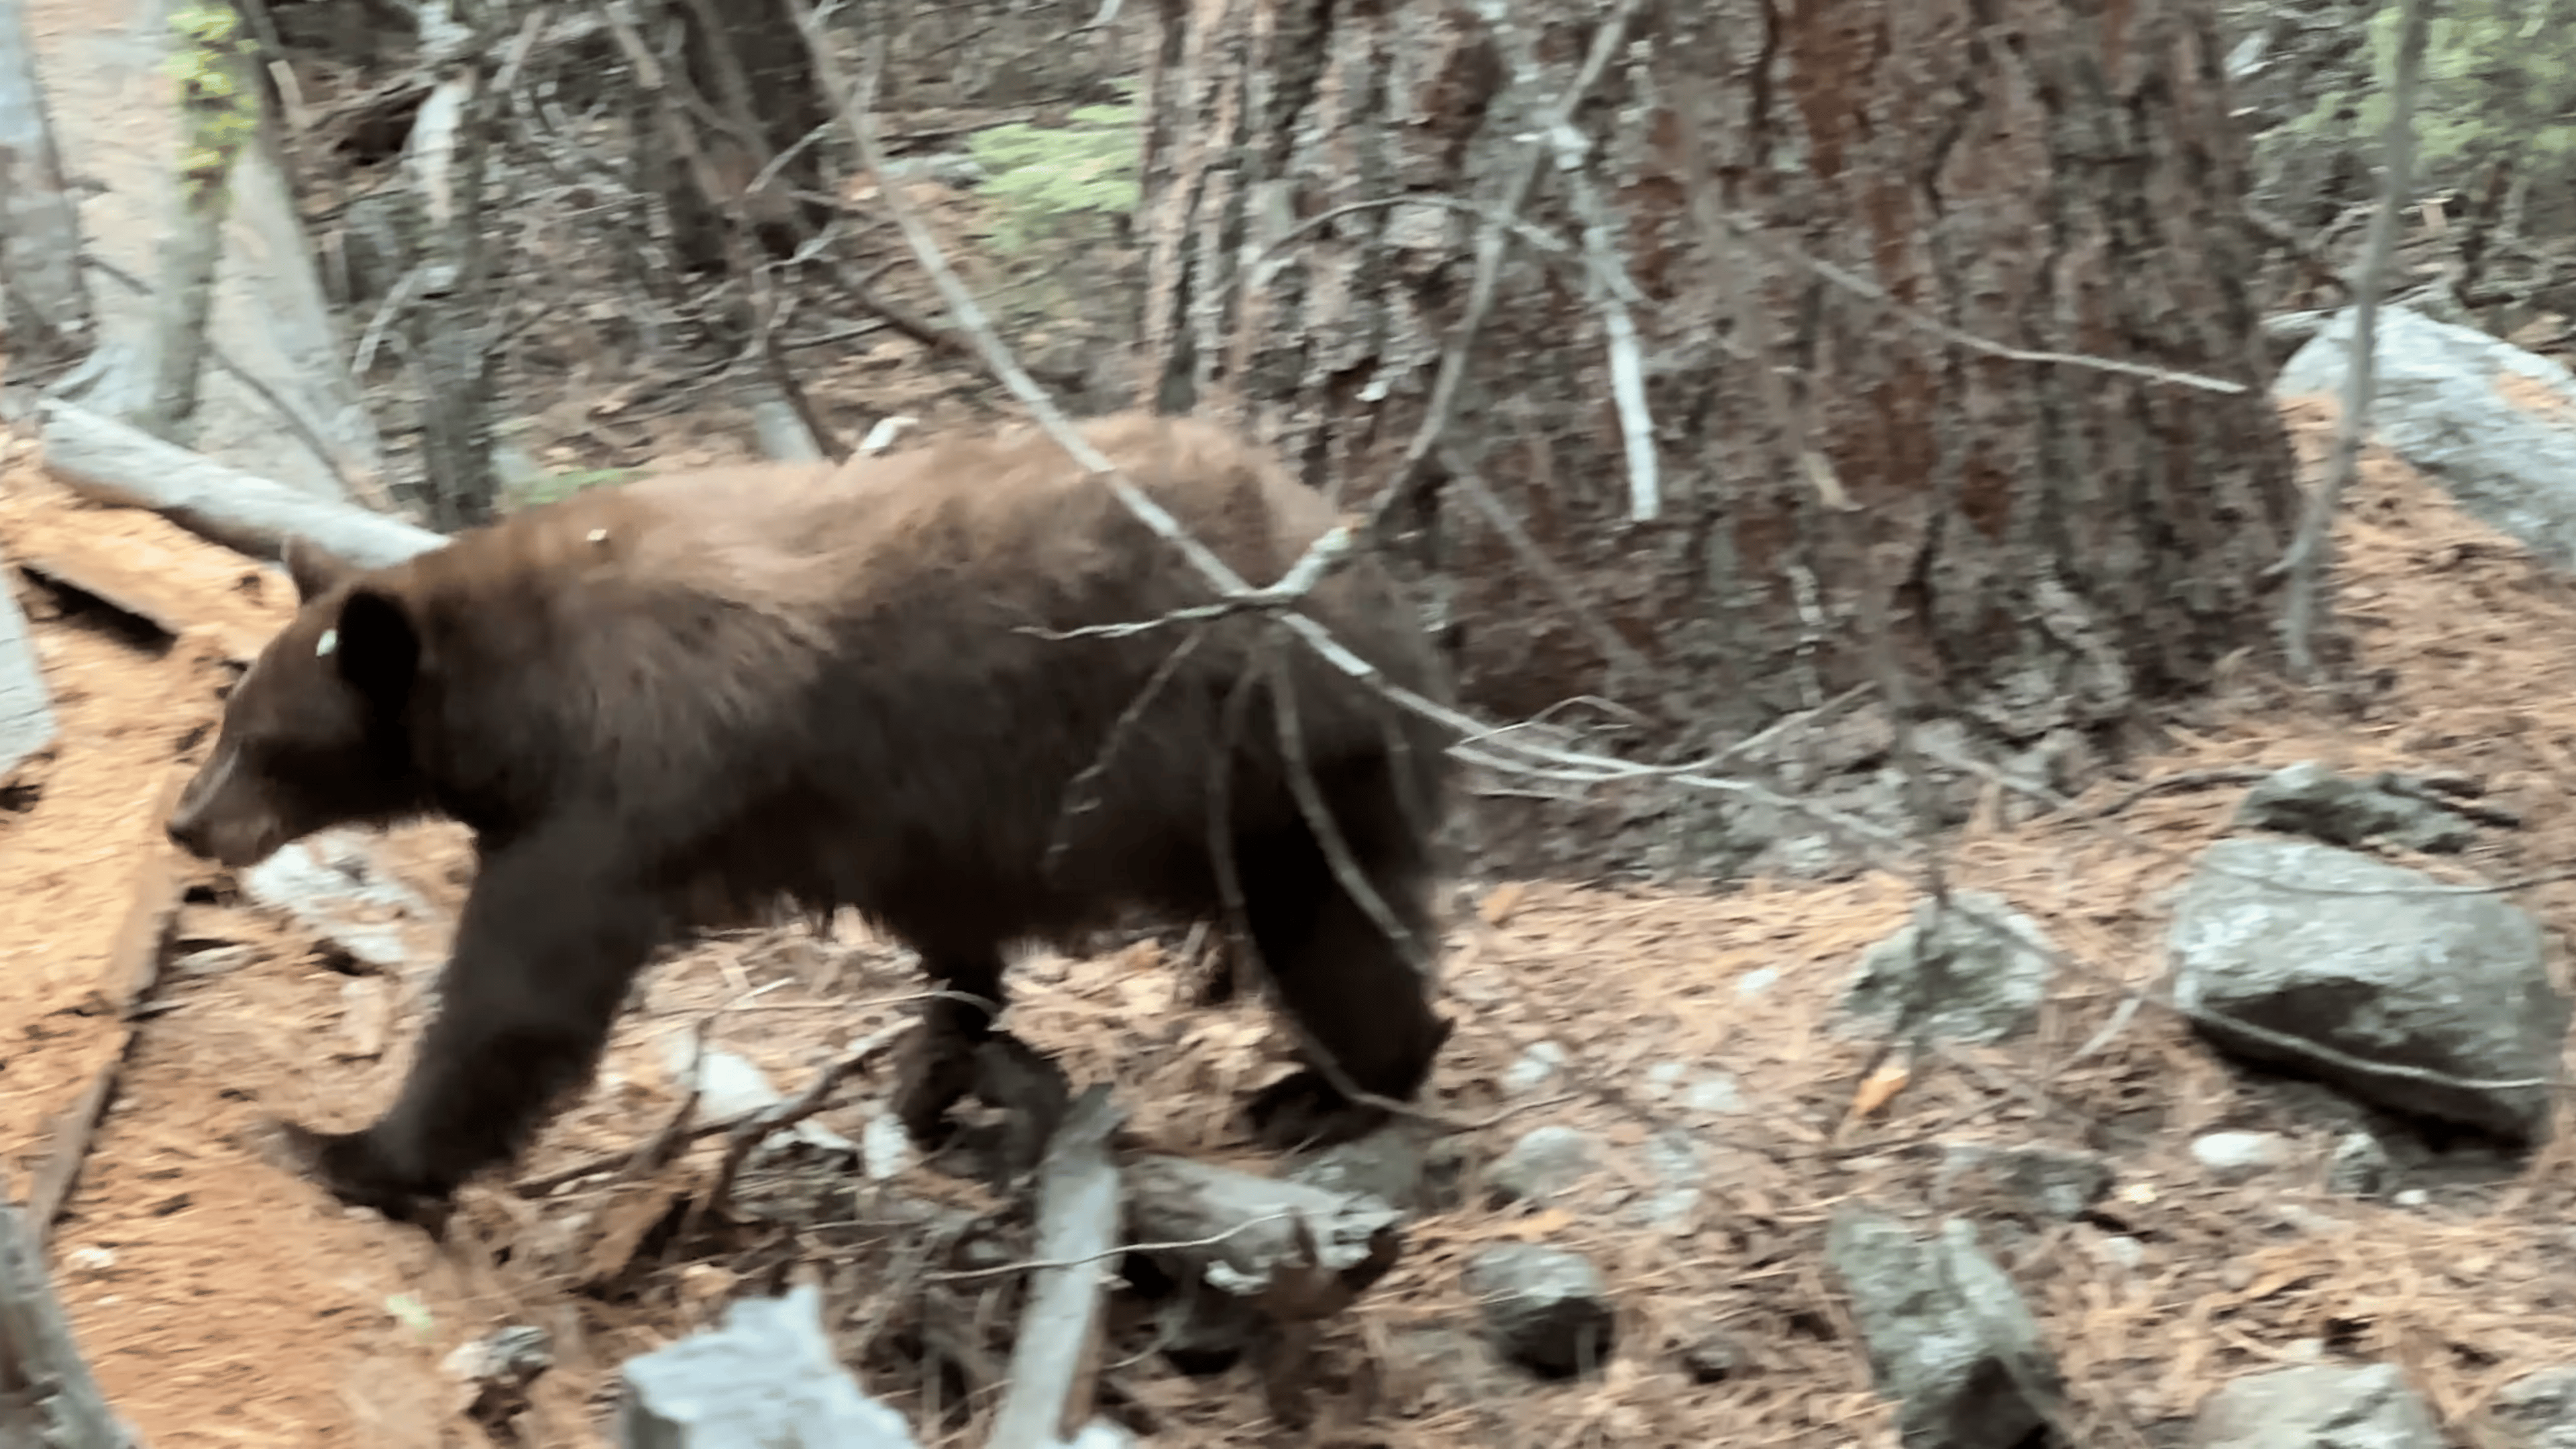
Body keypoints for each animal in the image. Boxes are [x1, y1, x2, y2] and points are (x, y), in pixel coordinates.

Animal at [166, 412, 1452, 1222]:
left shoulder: (622, 789)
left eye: (261, 745)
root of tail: (1378, 588)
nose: (187, 823)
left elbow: (519, 1002)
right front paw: (936, 1077)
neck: (520, 685)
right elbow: (957, 952)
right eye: (228, 718)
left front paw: (343, 1148)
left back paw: (1325, 1092)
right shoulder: (919, 832)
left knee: (1334, 935)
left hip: (1272, 770)